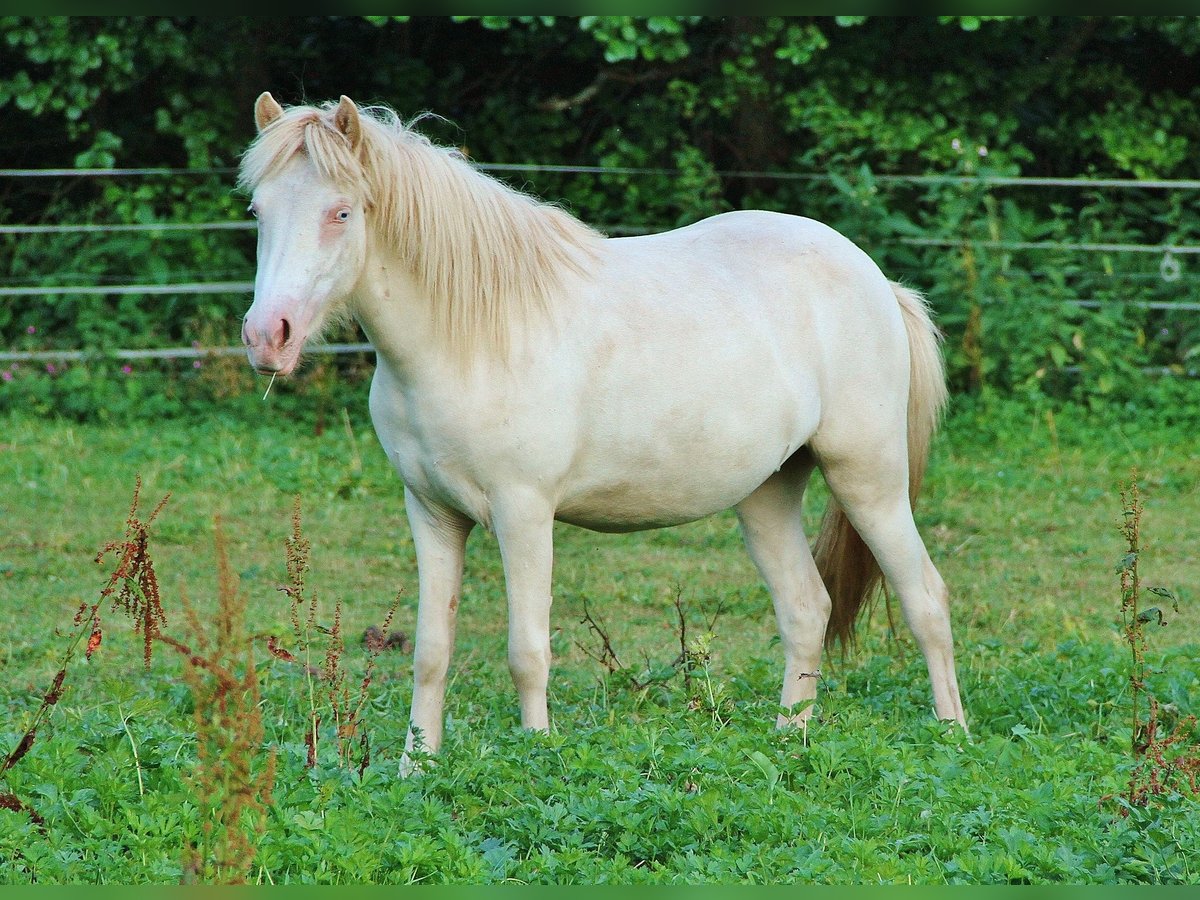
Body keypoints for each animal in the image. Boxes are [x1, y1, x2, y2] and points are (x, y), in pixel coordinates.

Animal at [241, 95, 964, 763]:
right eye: (258, 212)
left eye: (341, 212)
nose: (267, 336)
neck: (472, 336)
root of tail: (877, 280)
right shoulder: (431, 513)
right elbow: (430, 651)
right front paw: (416, 768)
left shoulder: (523, 513)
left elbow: (527, 650)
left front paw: (536, 757)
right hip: (768, 493)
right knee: (806, 607)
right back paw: (791, 739)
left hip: (867, 479)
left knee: (925, 597)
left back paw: (952, 734)